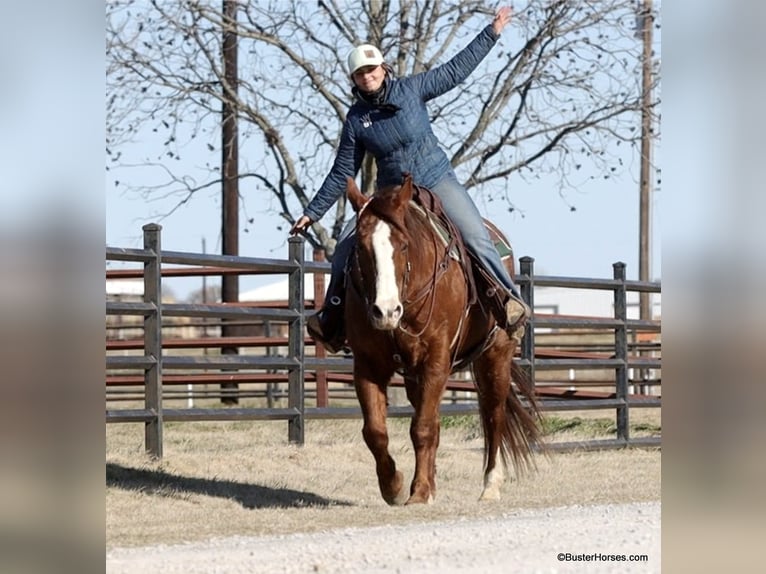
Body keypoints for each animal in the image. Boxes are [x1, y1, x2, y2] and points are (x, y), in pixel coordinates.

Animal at [344, 173, 544, 506]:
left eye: (403, 246)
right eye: (360, 247)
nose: (386, 311)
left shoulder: (436, 359)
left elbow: (423, 427)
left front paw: (420, 491)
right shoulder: (368, 364)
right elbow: (376, 431)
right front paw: (394, 486)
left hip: (495, 356)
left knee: (493, 414)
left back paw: (490, 485)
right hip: (415, 375)